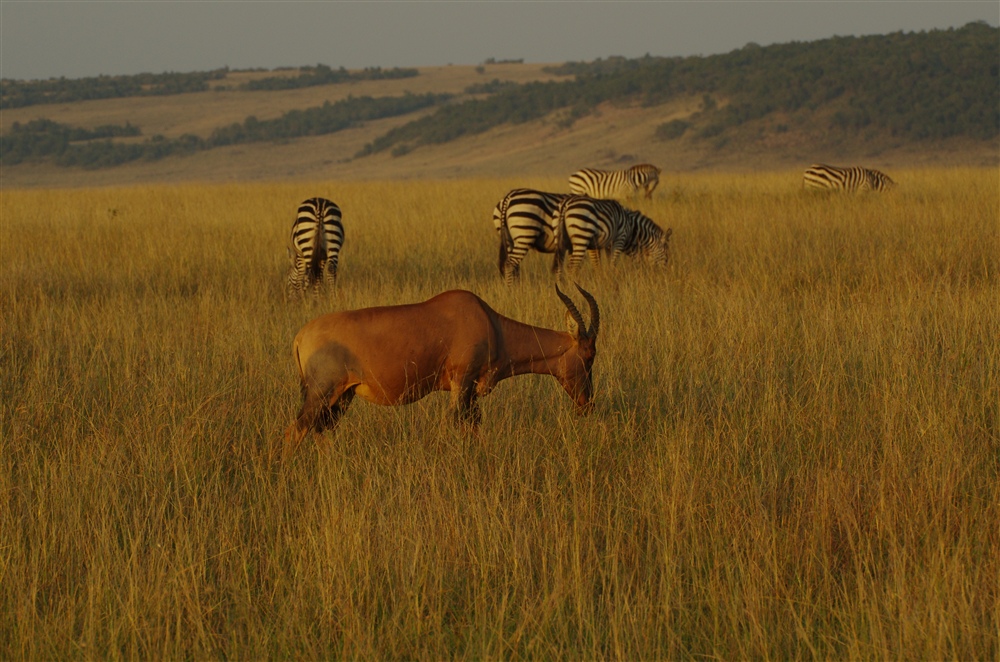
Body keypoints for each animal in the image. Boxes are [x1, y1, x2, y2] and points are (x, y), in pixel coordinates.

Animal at [280, 282, 600, 460]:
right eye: (589, 356)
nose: (587, 405)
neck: (488, 321)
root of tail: (300, 336)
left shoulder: (471, 392)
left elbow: (474, 428)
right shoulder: (462, 382)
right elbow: (452, 424)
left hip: (342, 397)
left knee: (320, 431)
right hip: (321, 394)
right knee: (295, 430)